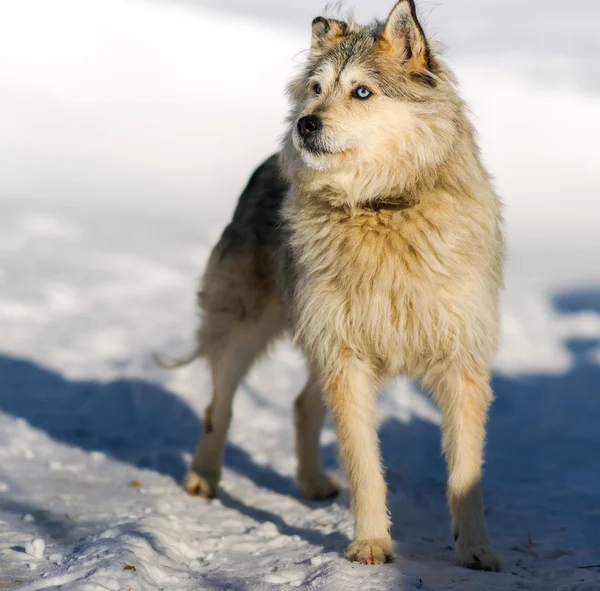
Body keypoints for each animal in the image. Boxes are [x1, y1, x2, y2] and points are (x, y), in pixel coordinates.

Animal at [166, 0, 504, 572]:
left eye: (361, 92)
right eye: (317, 87)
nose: (305, 124)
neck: (380, 209)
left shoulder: (459, 361)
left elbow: (467, 473)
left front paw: (477, 549)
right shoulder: (347, 357)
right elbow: (365, 467)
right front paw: (370, 544)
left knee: (302, 404)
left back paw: (308, 481)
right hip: (247, 329)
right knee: (219, 406)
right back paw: (203, 477)